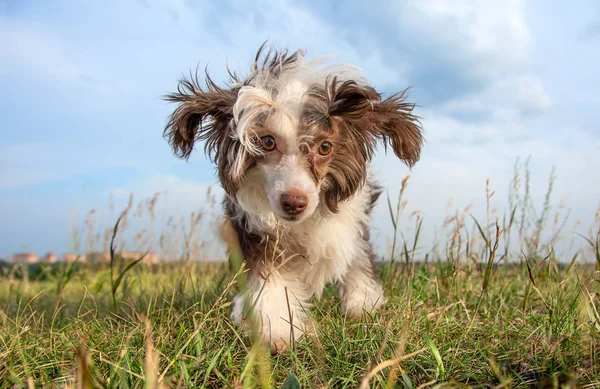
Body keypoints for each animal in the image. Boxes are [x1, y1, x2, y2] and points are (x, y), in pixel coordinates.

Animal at [163, 44, 422, 354]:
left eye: (325, 147)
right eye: (267, 142)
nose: (294, 202)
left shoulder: (355, 225)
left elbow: (357, 261)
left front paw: (363, 304)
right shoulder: (256, 233)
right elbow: (269, 281)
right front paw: (276, 330)